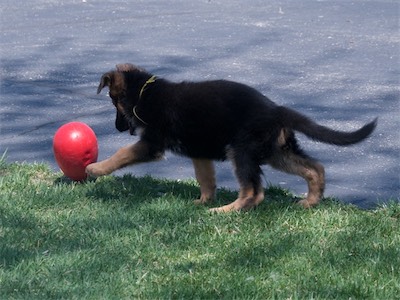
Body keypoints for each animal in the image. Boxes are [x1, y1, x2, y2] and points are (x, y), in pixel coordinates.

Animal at [86, 63, 376, 212]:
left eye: (113, 102)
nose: (117, 128)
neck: (144, 92)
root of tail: (277, 111)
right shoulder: (199, 151)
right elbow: (205, 178)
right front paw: (203, 200)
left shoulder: (152, 143)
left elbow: (122, 153)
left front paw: (96, 169)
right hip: (275, 151)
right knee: (315, 168)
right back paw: (311, 200)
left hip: (242, 151)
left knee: (254, 192)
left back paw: (225, 210)